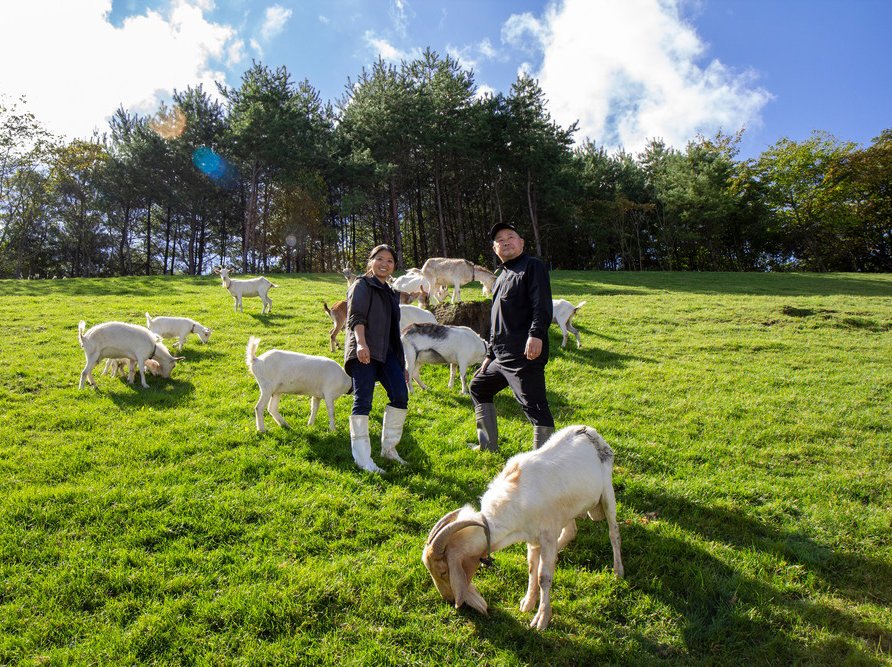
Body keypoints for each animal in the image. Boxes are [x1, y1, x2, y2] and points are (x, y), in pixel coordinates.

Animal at [422, 428, 624, 632]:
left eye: (443, 572)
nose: (448, 599)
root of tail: (588, 430)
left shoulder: (547, 535)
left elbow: (544, 576)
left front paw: (542, 618)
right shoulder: (532, 538)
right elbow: (532, 567)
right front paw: (528, 602)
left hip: (607, 494)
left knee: (613, 533)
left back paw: (618, 571)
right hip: (567, 512)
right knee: (571, 531)